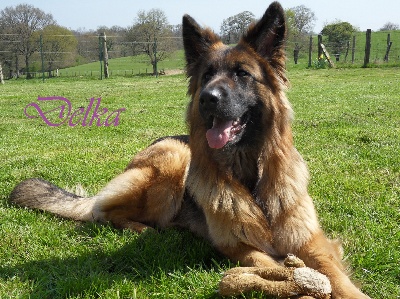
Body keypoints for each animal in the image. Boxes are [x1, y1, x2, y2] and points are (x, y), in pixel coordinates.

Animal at [10, 1, 370, 298]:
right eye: (207, 75)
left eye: (242, 74)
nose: (207, 99)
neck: (251, 176)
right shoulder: (240, 246)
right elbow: (276, 269)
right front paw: (299, 286)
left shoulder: (311, 241)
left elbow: (336, 277)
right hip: (172, 160)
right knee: (105, 214)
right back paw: (144, 230)